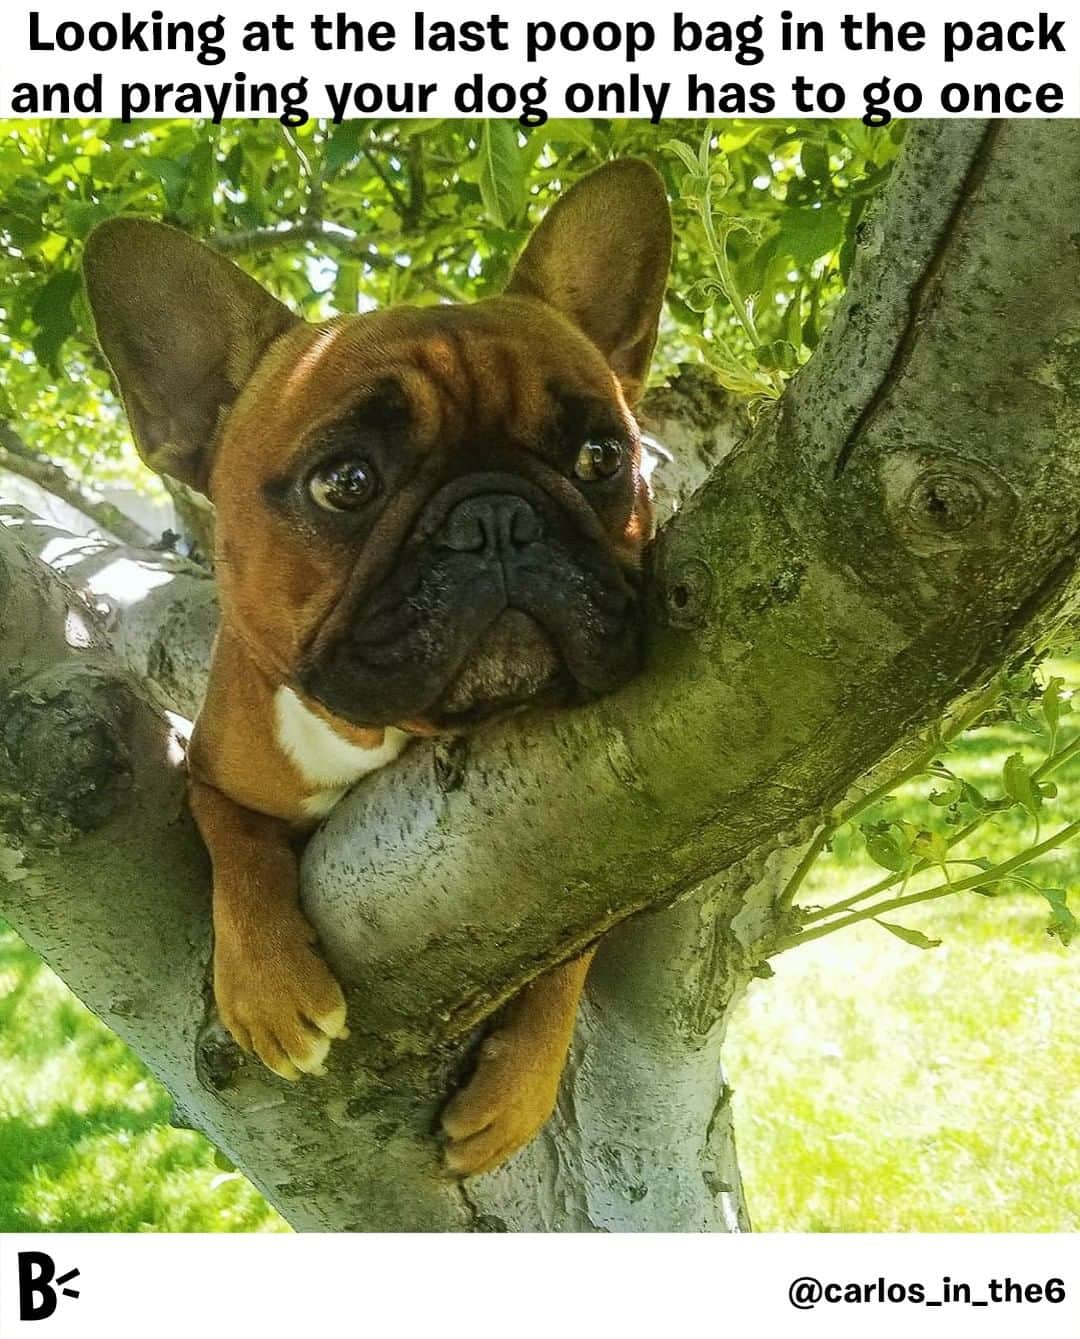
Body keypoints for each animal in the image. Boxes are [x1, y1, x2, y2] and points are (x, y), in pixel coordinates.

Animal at [84, 156, 671, 1178]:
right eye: (346, 481)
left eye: (601, 456)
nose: (495, 517)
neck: (381, 737)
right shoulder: (211, 763)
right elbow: (232, 835)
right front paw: (268, 985)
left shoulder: (611, 859)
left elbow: (570, 952)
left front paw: (517, 1092)